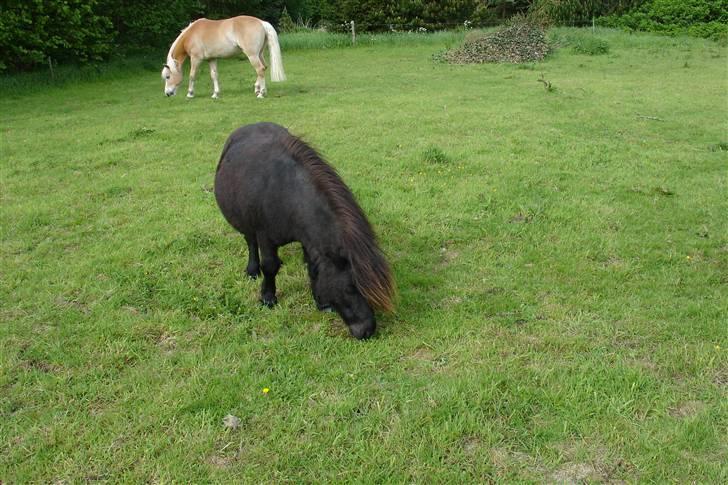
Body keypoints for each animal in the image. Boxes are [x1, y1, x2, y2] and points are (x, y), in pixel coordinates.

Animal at [213, 123, 396, 338]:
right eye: (352, 287)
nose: (368, 330)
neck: (285, 195)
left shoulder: (309, 241)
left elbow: (313, 267)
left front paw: (321, 301)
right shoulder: (265, 237)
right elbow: (270, 266)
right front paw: (267, 298)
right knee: (250, 241)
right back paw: (252, 270)